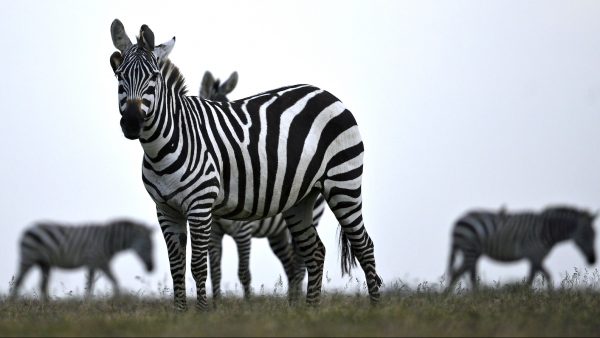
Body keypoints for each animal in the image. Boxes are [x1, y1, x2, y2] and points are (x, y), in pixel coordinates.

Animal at [9, 218, 155, 300]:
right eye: (148, 246)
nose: (151, 268)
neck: (108, 241)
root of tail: (28, 229)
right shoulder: (94, 260)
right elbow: (91, 283)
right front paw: (88, 301)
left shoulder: (102, 262)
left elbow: (113, 280)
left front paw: (117, 299)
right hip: (28, 257)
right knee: (18, 282)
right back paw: (12, 303)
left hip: (44, 263)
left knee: (42, 286)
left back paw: (47, 304)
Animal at [199, 72, 326, 302]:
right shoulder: (213, 231)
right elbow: (215, 271)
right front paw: (215, 306)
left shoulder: (244, 231)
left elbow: (244, 272)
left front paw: (249, 306)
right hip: (277, 232)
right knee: (290, 265)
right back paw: (293, 303)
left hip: (312, 216)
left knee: (300, 264)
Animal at [446, 205, 596, 290]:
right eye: (585, 235)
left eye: (595, 235)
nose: (593, 260)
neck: (546, 230)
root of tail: (459, 220)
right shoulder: (534, 255)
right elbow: (538, 277)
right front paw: (529, 296)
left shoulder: (537, 257)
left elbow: (540, 276)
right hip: (470, 249)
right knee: (461, 274)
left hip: (473, 252)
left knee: (463, 274)